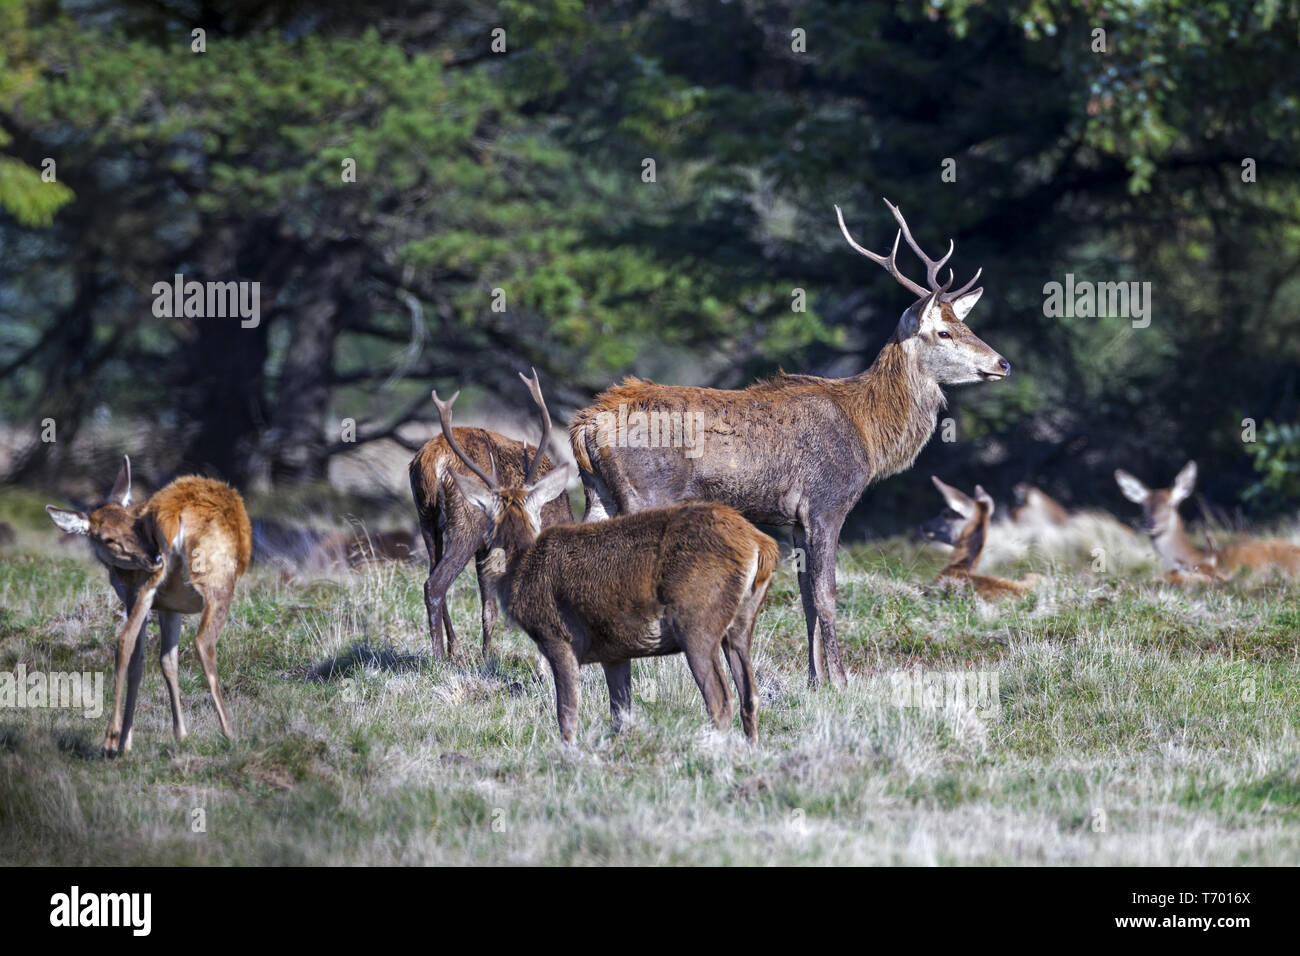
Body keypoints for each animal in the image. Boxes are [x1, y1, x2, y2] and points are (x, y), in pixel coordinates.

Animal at [46, 455, 250, 754]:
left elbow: (164, 660)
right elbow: (166, 658)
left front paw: (177, 734)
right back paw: (230, 734)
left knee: (126, 641)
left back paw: (114, 739)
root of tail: (172, 513)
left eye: (134, 525)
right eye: (107, 538)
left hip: (150, 586)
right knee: (203, 641)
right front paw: (180, 734)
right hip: (215, 579)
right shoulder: (164, 602)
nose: (152, 556)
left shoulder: (156, 602)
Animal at [431, 374, 774, 749]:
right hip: (740, 624)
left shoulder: (558, 637)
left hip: (697, 620)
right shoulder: (615, 652)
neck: (524, 561)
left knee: (721, 701)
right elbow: (620, 714)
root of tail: (761, 545)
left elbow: (567, 716)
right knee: (751, 697)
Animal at [566, 197, 1003, 686]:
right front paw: (842, 681)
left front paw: (816, 681)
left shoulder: (794, 519)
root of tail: (585, 425)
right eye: (944, 331)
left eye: (963, 324)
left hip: (598, 494)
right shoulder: (827, 503)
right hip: (646, 493)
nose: (1002, 363)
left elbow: (807, 599)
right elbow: (827, 595)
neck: (868, 432)